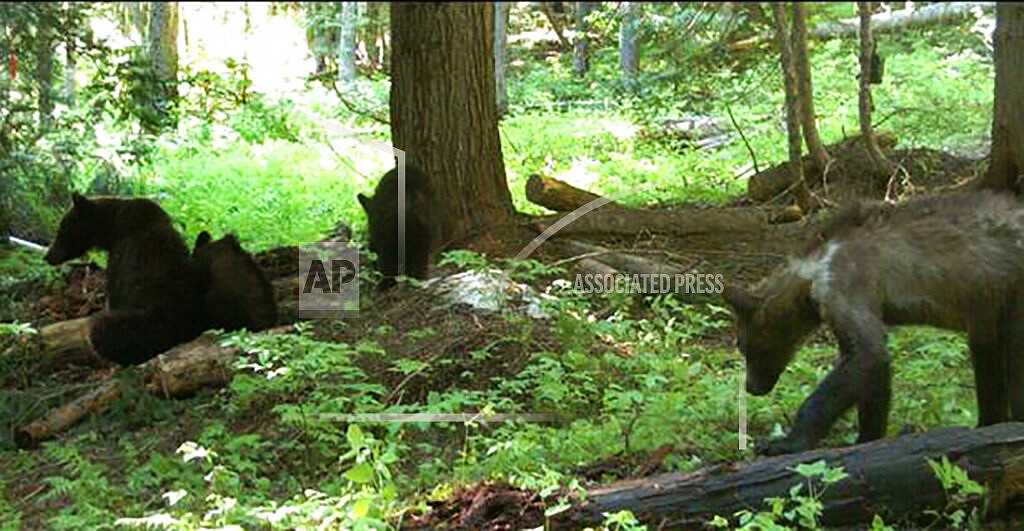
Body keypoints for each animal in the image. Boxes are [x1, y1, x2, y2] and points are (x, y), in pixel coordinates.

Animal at [724, 191, 1024, 456]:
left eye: (745, 346)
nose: (751, 387)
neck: (811, 279)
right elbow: (873, 374)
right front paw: (867, 438)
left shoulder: (845, 284)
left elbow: (867, 355)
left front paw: (786, 442)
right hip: (989, 302)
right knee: (986, 358)